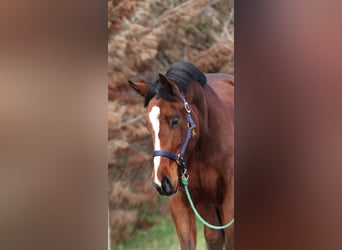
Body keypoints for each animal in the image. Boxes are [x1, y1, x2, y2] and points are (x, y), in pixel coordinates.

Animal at [129, 61, 235, 250]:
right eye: (147, 124)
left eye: (175, 120)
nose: (161, 181)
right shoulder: (180, 201)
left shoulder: (229, 199)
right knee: (213, 237)